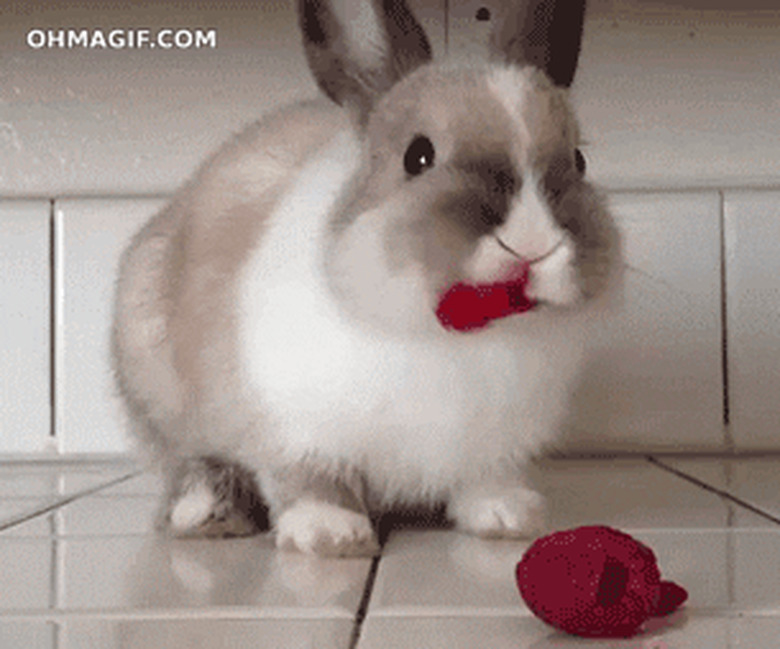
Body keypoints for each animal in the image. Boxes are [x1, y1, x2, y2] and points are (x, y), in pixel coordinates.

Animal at [109, 0, 620, 556]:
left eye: (579, 160)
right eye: (418, 156)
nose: (533, 242)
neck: (446, 333)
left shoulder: (494, 445)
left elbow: (486, 480)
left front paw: (507, 517)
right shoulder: (295, 428)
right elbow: (310, 479)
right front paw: (330, 533)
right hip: (159, 397)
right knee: (189, 463)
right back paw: (207, 513)